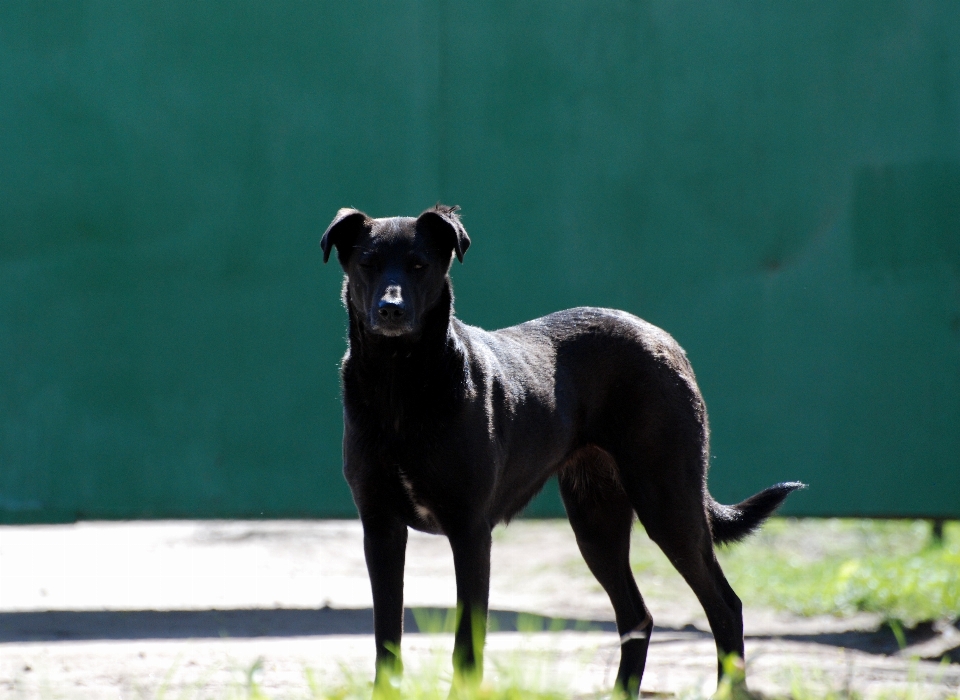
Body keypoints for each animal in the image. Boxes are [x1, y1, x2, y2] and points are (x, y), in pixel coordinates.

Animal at [322, 205, 804, 696]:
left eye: (419, 265)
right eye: (367, 264)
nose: (391, 309)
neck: (400, 383)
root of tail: (662, 338)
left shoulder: (470, 532)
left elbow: (466, 645)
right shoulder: (380, 529)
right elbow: (386, 639)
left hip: (668, 504)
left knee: (725, 607)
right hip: (597, 523)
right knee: (638, 616)